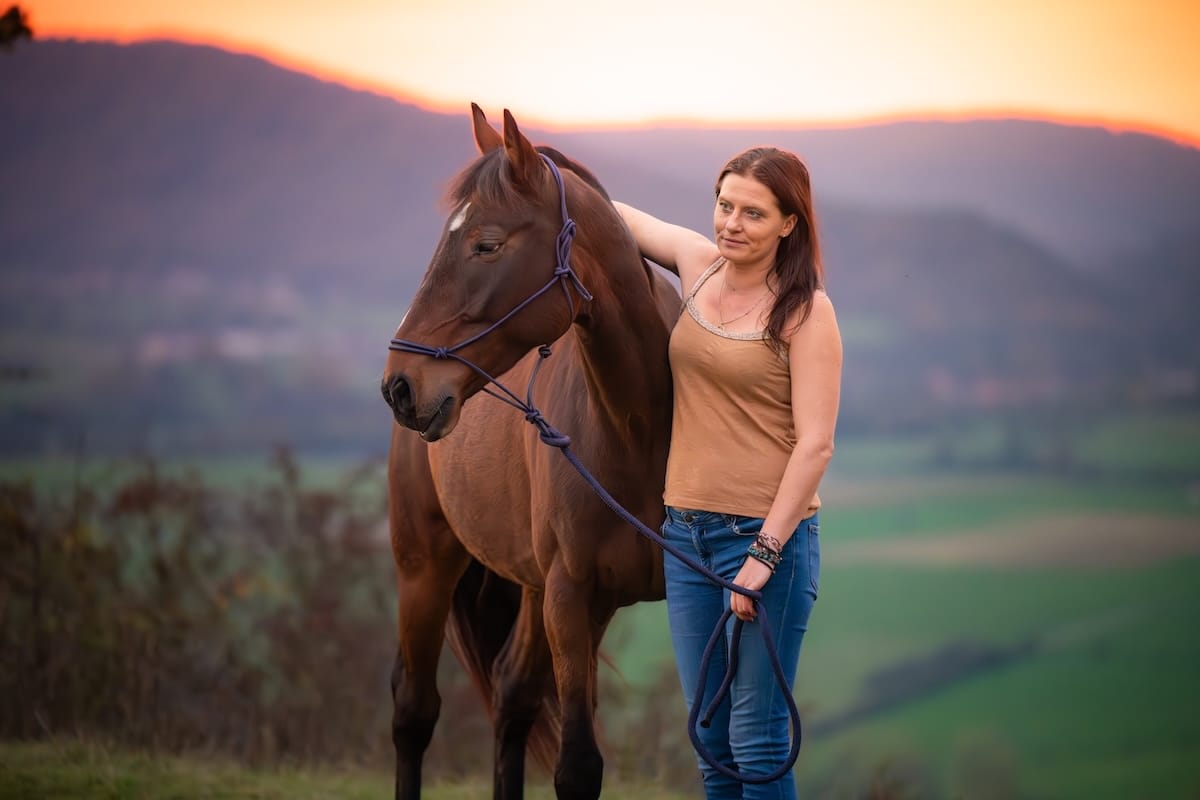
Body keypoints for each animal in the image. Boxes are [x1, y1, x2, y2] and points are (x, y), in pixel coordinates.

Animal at [380, 104, 681, 800]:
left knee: (511, 699)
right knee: (414, 711)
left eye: (486, 245)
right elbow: (578, 768)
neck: (639, 429)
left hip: (535, 589)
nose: (400, 387)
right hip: (425, 568)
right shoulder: (572, 597)